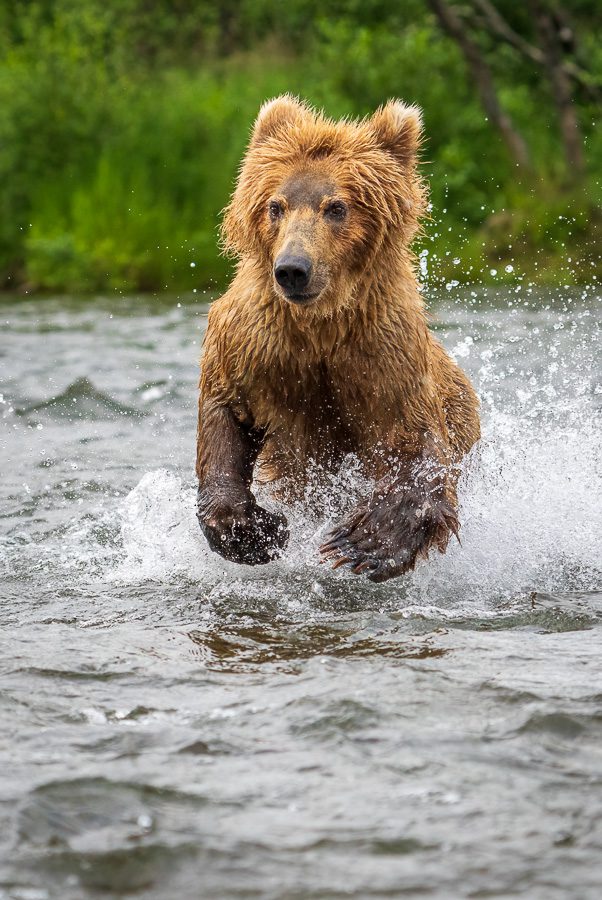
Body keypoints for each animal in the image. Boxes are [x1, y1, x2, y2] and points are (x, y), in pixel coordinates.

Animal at [196, 95, 478, 580]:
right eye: (276, 205)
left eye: (336, 207)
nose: (293, 269)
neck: (320, 324)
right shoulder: (257, 344)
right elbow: (226, 412)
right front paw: (256, 531)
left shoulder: (383, 352)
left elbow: (415, 444)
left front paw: (360, 541)